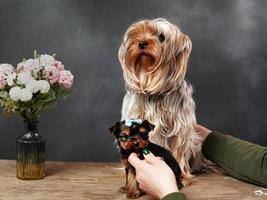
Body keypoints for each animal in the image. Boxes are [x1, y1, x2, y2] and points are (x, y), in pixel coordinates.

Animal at [118, 18, 208, 185]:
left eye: (161, 37)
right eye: (137, 33)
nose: (141, 43)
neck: (154, 89)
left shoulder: (179, 130)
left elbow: (178, 151)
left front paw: (183, 176)